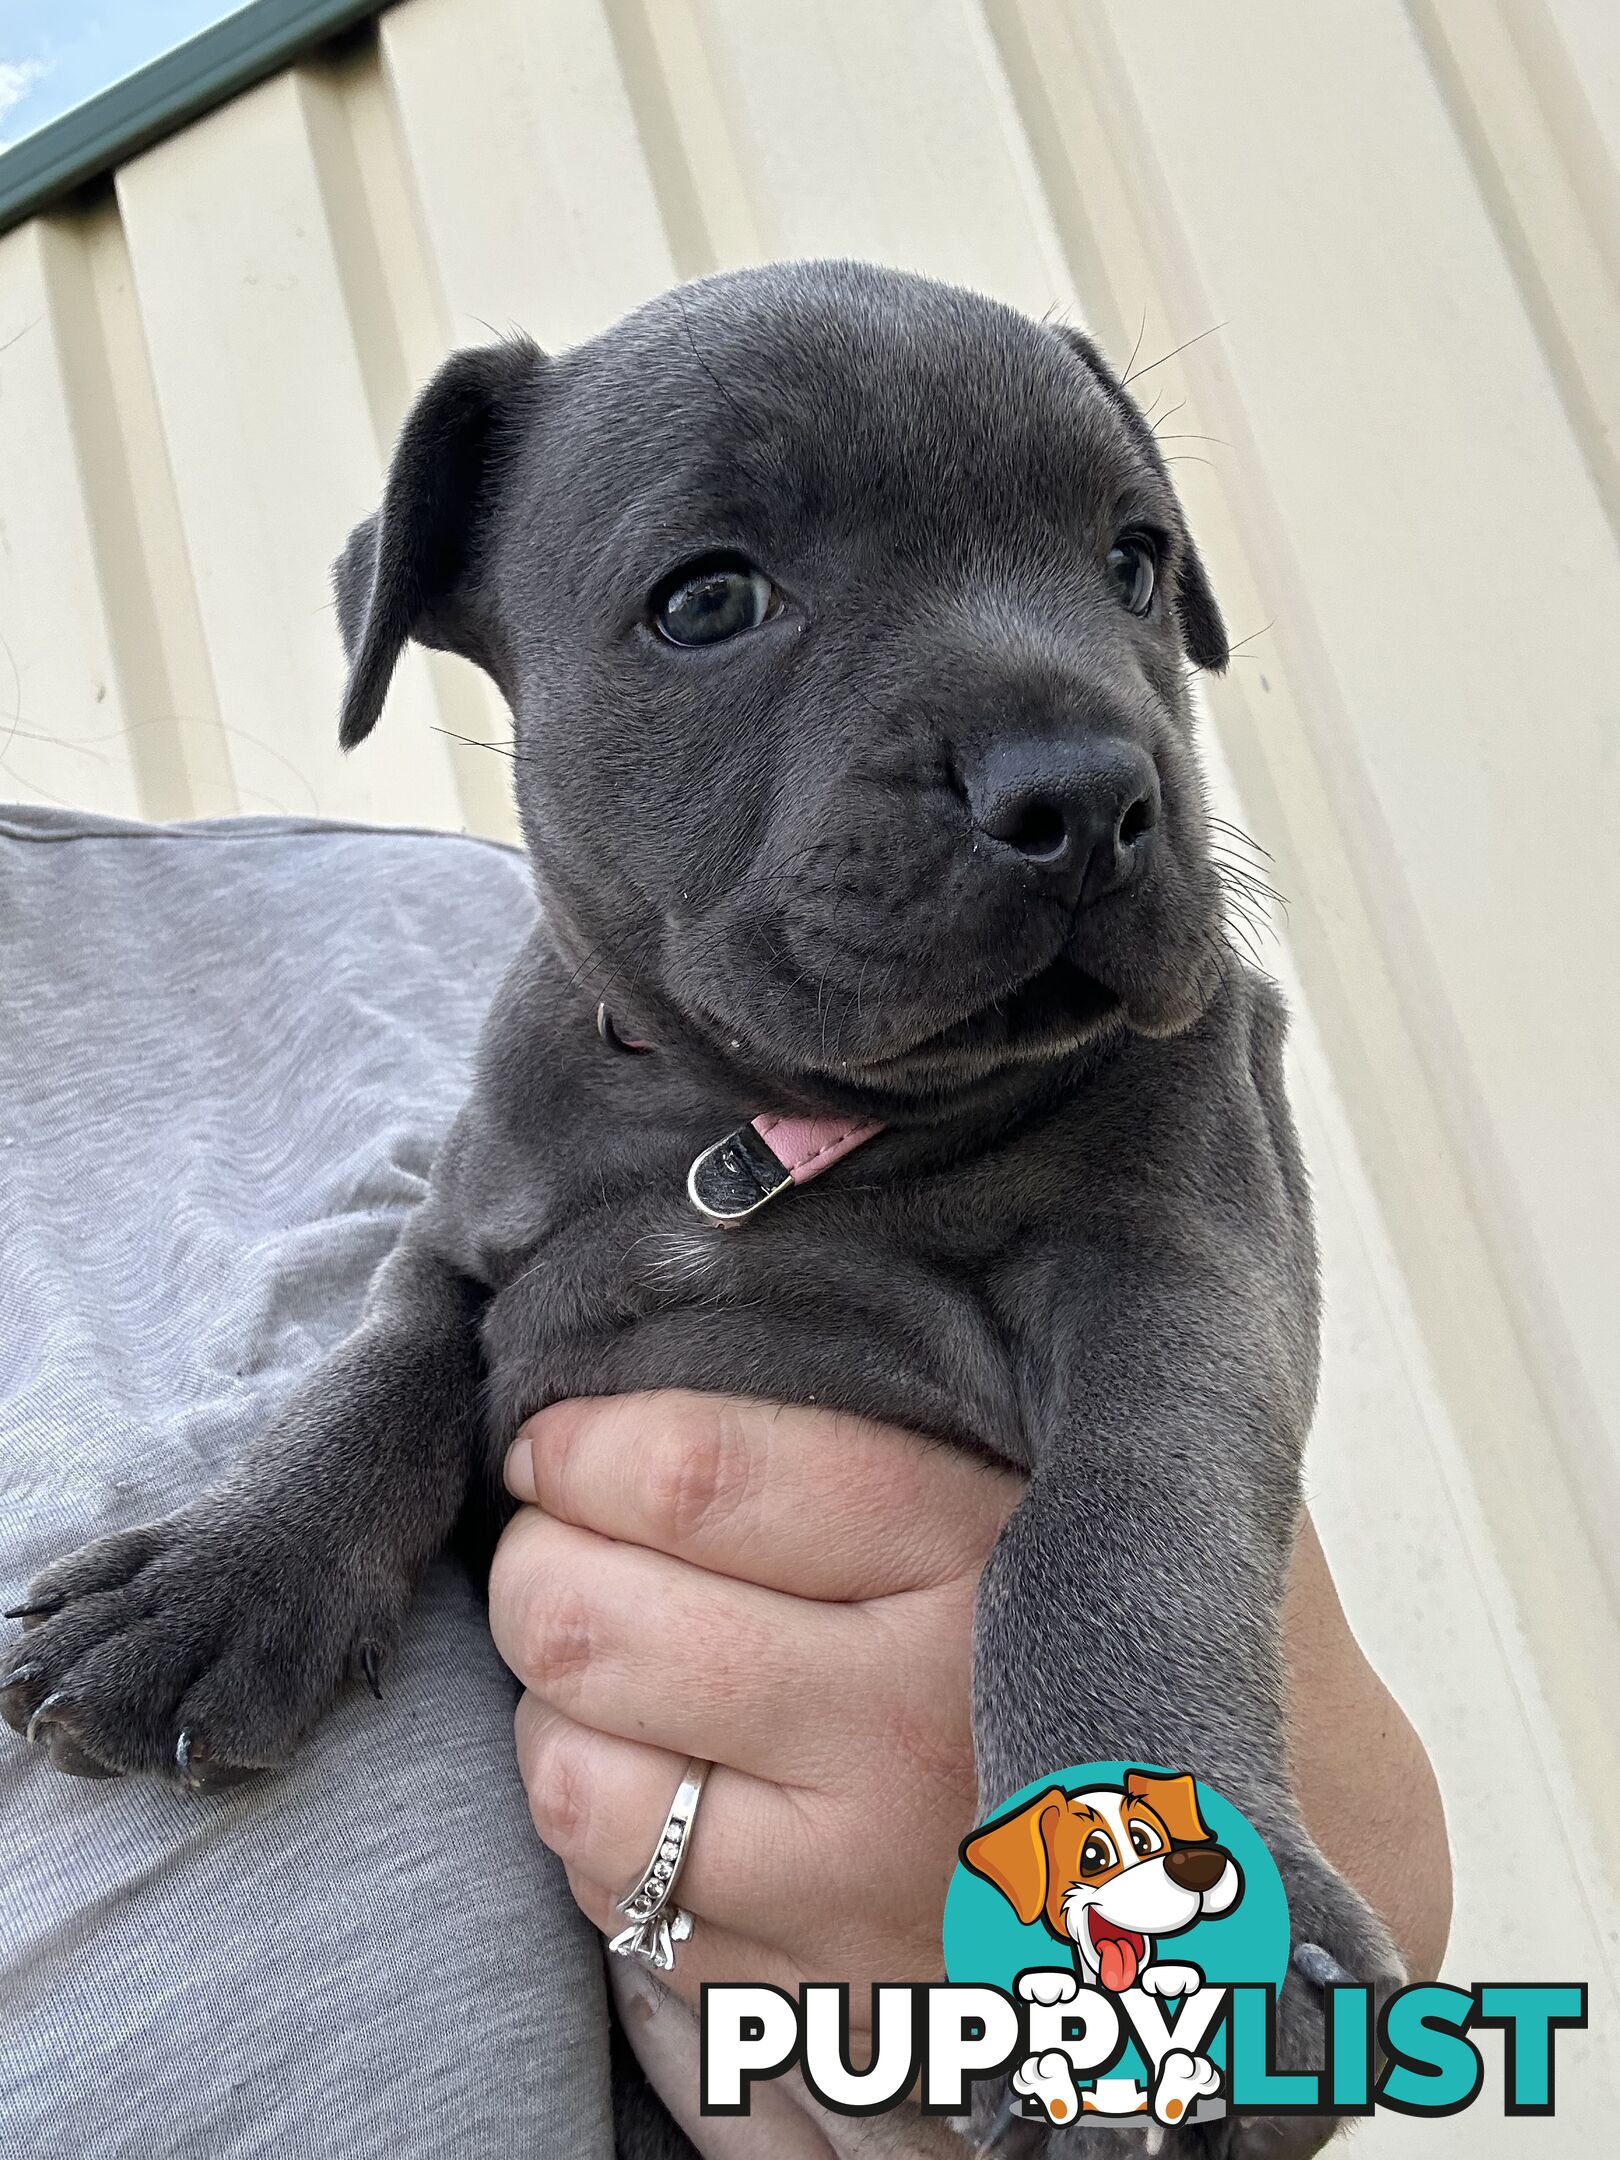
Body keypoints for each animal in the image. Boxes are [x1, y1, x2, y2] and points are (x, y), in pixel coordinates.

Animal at [0, 261, 1399, 2151]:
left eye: (1135, 563)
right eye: (711, 600)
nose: (1088, 790)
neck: (752, 1123)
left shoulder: (1186, 1267)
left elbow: (1115, 1526)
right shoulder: (463, 1253)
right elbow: (365, 1381)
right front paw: (216, 1580)